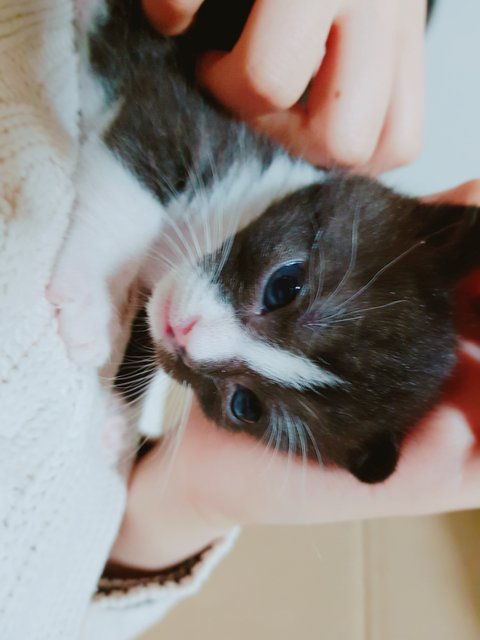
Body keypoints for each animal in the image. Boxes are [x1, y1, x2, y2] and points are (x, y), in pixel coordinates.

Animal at [49, 0, 480, 483]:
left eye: (245, 405)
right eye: (285, 285)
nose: (184, 333)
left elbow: (147, 324)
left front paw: (118, 420)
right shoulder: (182, 109)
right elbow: (136, 191)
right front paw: (90, 303)